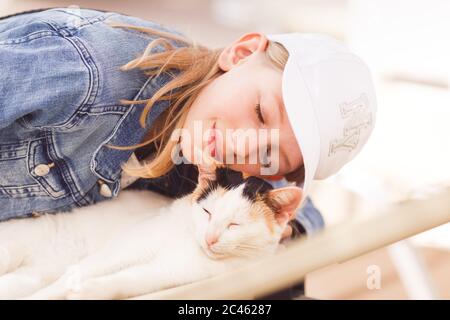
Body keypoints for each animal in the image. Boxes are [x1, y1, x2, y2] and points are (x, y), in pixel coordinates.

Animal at [0, 155, 302, 300]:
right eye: (207, 212)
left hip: (31, 272)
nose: (210, 238)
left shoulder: (171, 272)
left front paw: (91, 290)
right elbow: (74, 276)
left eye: (234, 225)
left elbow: (130, 280)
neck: (190, 244)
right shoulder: (127, 248)